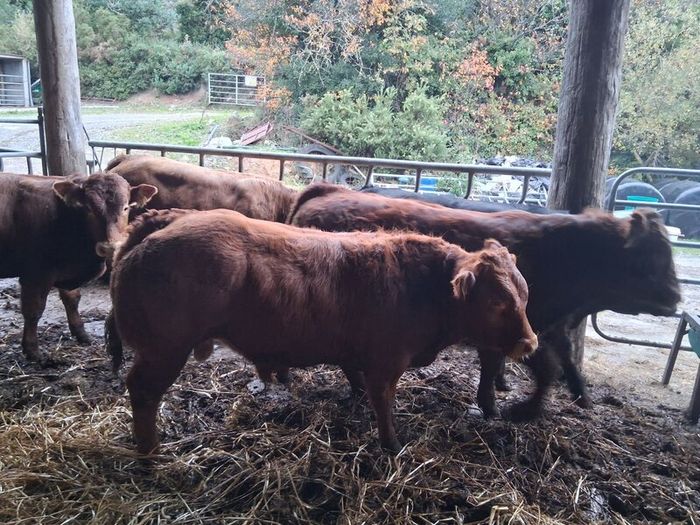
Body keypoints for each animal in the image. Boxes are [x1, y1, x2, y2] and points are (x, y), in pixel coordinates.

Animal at [0, 172, 157, 360]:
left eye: (126, 207)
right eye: (88, 208)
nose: (109, 247)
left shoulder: (64, 270)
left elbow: (72, 300)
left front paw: (81, 334)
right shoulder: (35, 275)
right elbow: (33, 311)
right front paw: (32, 350)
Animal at [110, 208, 537, 453]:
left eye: (525, 295)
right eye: (498, 303)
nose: (530, 343)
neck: (421, 285)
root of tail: (161, 226)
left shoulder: (357, 355)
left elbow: (357, 382)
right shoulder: (386, 364)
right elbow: (383, 403)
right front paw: (391, 444)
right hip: (165, 350)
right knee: (143, 392)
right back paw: (150, 453)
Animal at [288, 184, 681, 421]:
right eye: (647, 261)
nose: (675, 298)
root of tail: (329, 191)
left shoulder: (546, 328)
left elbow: (563, 362)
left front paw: (581, 397)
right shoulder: (523, 331)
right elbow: (539, 369)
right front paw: (513, 408)